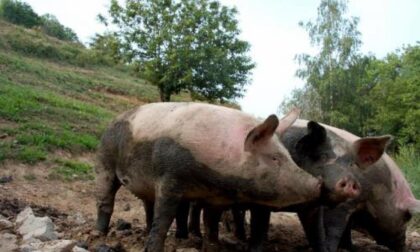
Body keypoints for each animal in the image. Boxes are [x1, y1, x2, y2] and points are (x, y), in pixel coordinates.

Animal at [95, 103, 324, 252]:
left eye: (289, 156)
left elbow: (211, 224)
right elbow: (164, 218)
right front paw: (153, 249)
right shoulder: (170, 178)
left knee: (148, 207)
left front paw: (212, 247)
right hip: (105, 160)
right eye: (275, 158)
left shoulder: (216, 199)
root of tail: (113, 120)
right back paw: (99, 235)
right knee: (106, 199)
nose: (318, 183)